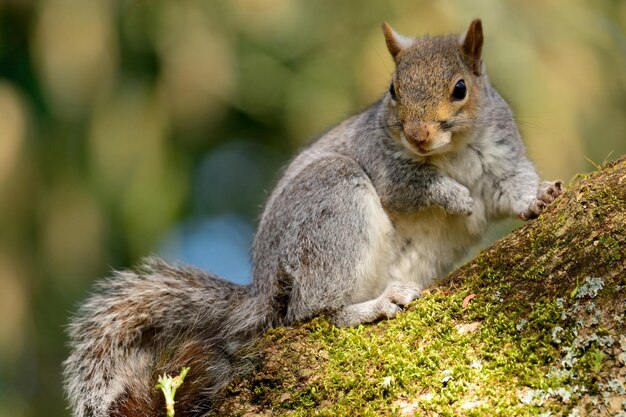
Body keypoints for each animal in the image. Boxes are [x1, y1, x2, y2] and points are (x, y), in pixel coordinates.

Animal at [62, 19, 560, 416]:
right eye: (393, 90)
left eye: (460, 88)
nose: (417, 135)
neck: (450, 151)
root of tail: (264, 285)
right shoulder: (382, 162)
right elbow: (414, 187)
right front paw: (458, 199)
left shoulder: (500, 157)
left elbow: (511, 192)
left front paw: (541, 197)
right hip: (332, 208)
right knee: (313, 311)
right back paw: (375, 306)